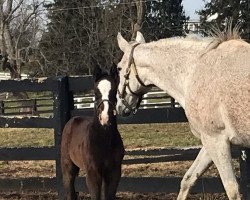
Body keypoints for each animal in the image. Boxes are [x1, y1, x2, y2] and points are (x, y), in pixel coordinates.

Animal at [115, 29, 250, 200]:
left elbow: (232, 190)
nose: (120, 107)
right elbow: (188, 179)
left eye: (119, 68)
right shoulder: (210, 142)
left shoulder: (216, 139)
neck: (195, 70)